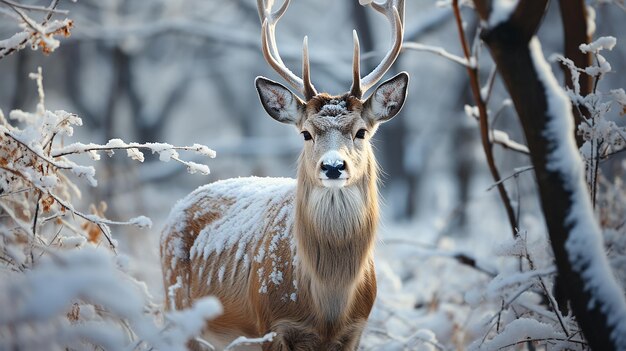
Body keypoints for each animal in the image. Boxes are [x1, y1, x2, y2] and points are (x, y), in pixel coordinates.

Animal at [158, 1, 408, 350]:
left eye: (361, 131)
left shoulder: (355, 331)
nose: (333, 166)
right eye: (306, 133)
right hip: (178, 309)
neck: (329, 305)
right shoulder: (271, 325)